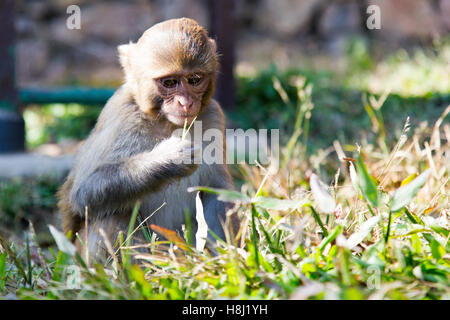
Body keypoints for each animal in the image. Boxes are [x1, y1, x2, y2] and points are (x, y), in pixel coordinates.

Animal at [57, 16, 236, 258]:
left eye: (194, 79)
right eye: (169, 82)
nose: (186, 103)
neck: (165, 122)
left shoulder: (213, 116)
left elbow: (215, 193)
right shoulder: (120, 115)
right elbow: (83, 192)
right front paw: (169, 159)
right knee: (109, 215)